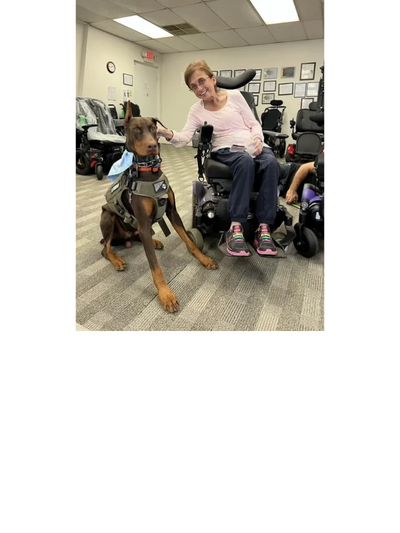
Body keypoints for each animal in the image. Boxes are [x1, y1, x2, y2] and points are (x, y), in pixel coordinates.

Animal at [99, 102, 219, 312]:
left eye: (153, 129)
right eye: (136, 130)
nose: (152, 145)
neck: (150, 171)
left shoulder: (172, 211)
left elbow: (189, 241)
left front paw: (204, 259)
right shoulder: (143, 222)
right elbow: (155, 266)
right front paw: (166, 295)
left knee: (138, 237)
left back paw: (154, 241)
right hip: (108, 216)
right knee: (105, 248)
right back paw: (117, 260)